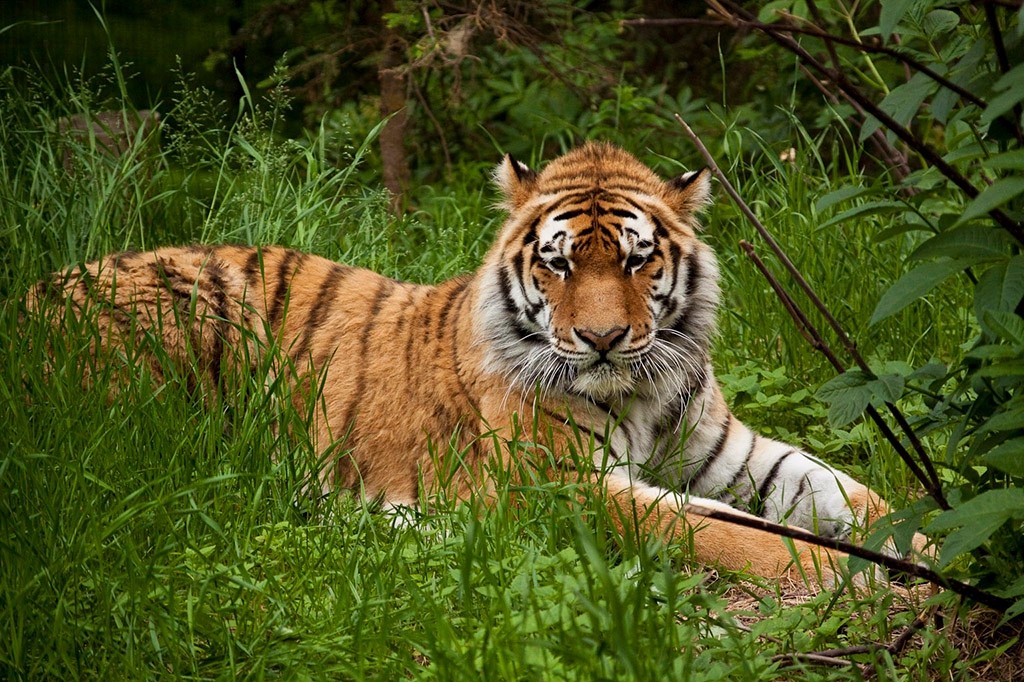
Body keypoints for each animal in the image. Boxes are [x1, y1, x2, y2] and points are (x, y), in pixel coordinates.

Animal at [28, 142, 925, 585]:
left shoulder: (727, 453)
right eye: (558, 265)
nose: (602, 339)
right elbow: (720, 531)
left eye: (637, 262)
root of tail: (32, 294)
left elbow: (853, 494)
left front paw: (928, 545)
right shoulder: (555, 486)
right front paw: (850, 576)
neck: (639, 386)